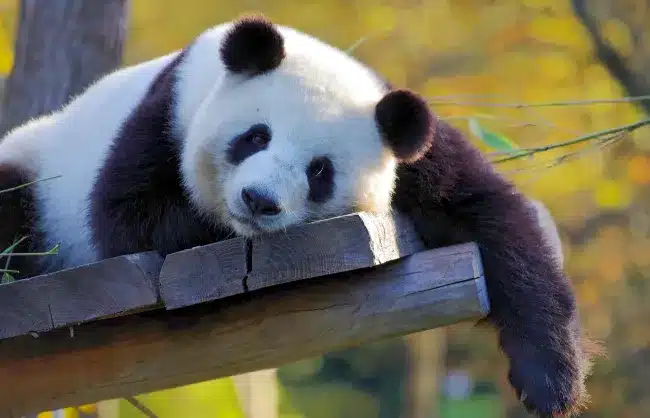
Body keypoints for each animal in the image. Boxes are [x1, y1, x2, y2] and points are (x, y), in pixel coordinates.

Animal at [0, 15, 597, 418]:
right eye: (255, 136)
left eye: (320, 171)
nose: (259, 201)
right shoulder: (166, 112)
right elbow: (130, 218)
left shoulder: (409, 147)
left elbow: (492, 216)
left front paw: (552, 382)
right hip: (35, 173)